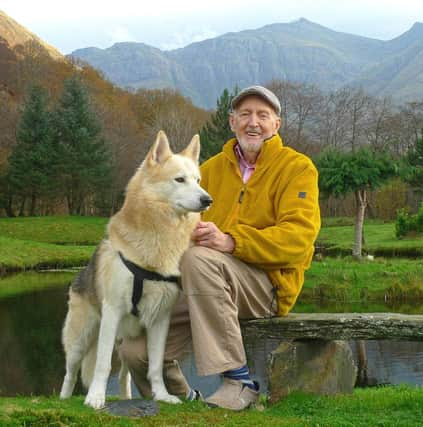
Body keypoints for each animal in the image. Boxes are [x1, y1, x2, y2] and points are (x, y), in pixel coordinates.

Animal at [59, 132, 212, 410]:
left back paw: (125, 397)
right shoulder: (112, 312)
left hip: (125, 343)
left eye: (197, 180)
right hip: (81, 337)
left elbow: (155, 366)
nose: (207, 200)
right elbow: (101, 365)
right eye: (180, 179)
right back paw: (64, 398)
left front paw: (161, 395)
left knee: (124, 375)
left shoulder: (160, 319)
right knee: (70, 372)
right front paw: (95, 397)